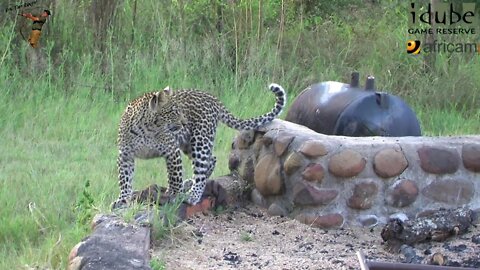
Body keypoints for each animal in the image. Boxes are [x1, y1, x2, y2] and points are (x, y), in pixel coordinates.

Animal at [112, 83, 284, 208]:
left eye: (180, 110)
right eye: (173, 112)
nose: (184, 123)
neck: (146, 129)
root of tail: (211, 97)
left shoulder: (172, 151)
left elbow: (174, 177)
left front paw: (174, 194)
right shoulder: (125, 155)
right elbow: (125, 180)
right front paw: (122, 200)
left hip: (199, 140)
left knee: (202, 168)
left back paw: (193, 194)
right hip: (189, 144)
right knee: (211, 159)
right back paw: (189, 183)